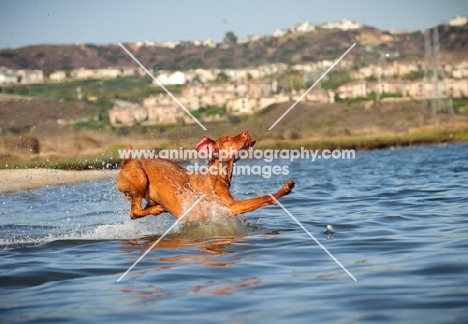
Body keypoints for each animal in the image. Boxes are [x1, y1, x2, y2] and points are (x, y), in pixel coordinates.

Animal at [116, 131, 294, 220]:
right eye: (228, 139)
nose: (246, 132)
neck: (218, 173)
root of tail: (125, 163)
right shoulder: (231, 206)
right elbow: (264, 197)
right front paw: (283, 190)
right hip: (139, 175)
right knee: (134, 212)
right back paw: (155, 210)